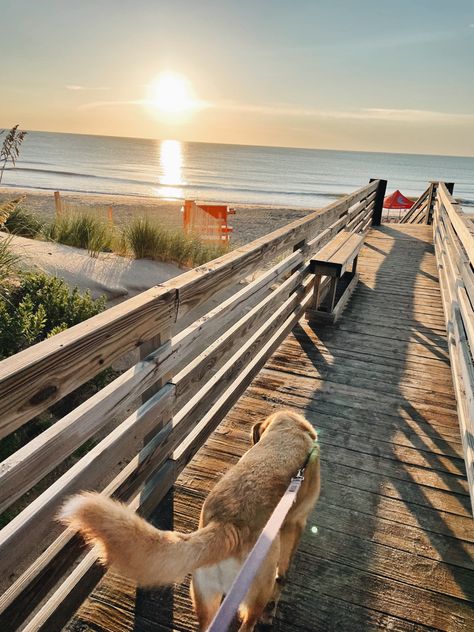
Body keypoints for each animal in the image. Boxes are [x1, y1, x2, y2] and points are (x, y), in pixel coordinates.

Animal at [58, 410, 318, 632]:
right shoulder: (297, 523)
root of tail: (228, 525)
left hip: (205, 595)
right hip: (255, 594)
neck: (287, 428)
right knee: (250, 621)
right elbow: (286, 562)